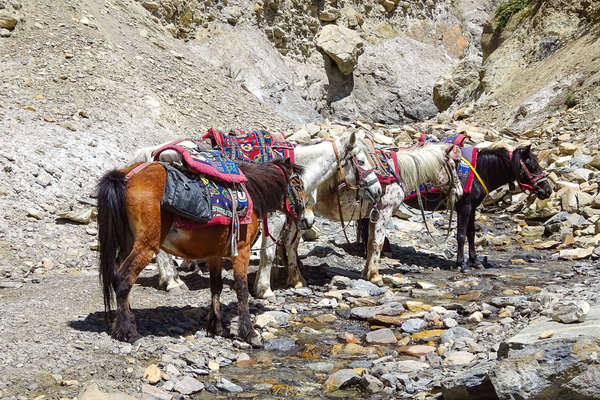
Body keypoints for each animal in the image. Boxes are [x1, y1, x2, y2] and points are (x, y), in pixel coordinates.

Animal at [99, 158, 304, 346]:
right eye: (298, 184)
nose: (304, 215)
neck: (252, 193)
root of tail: (127, 176)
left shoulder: (215, 255)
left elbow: (216, 287)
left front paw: (217, 328)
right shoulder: (242, 252)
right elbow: (242, 289)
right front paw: (249, 333)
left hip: (127, 244)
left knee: (119, 277)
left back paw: (124, 323)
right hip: (146, 246)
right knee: (124, 279)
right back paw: (127, 331)